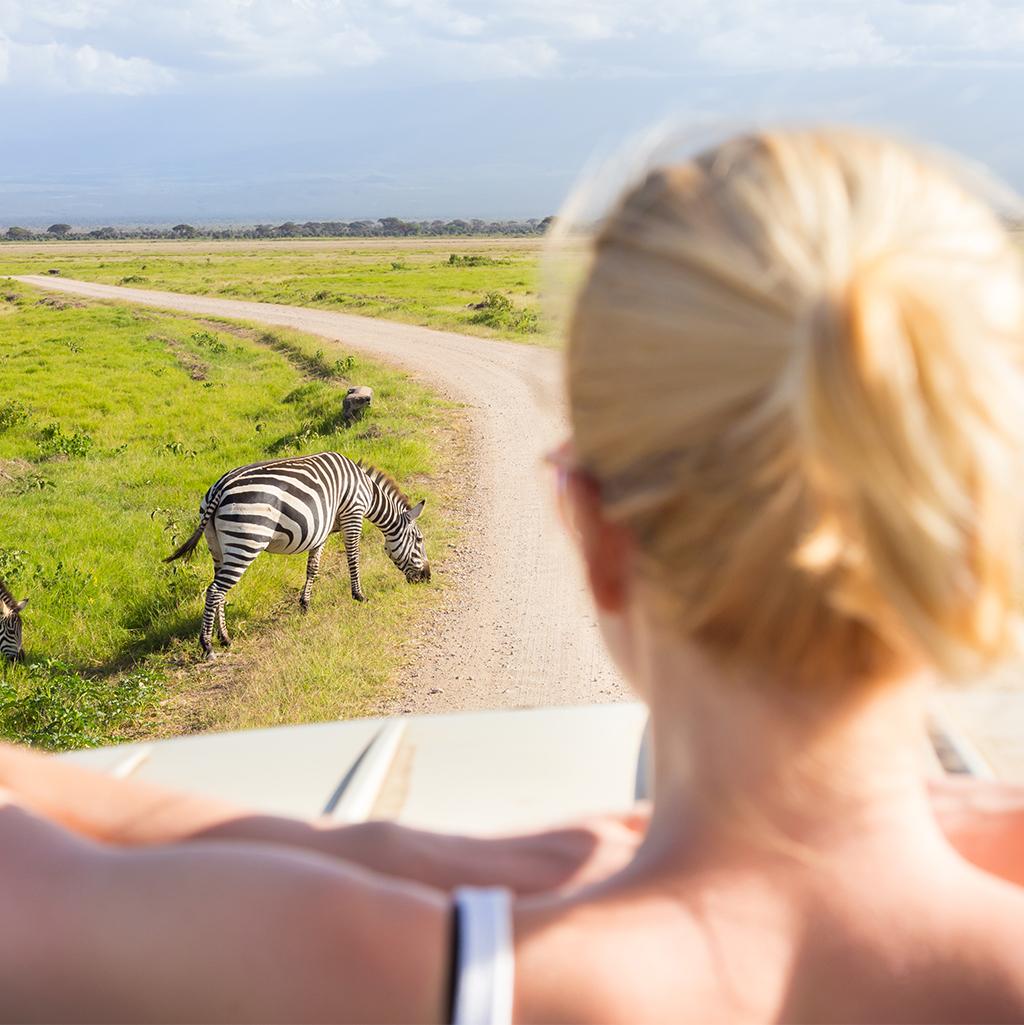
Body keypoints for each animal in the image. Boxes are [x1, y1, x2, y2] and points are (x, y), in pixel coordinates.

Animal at [166, 453, 430, 660]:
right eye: (419, 540)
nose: (427, 578)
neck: (367, 491)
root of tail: (220, 488)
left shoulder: (322, 529)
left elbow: (313, 567)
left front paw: (305, 604)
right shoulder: (352, 514)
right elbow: (353, 557)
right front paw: (359, 595)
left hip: (218, 546)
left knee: (219, 591)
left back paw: (225, 638)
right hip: (246, 541)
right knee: (214, 590)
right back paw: (208, 646)